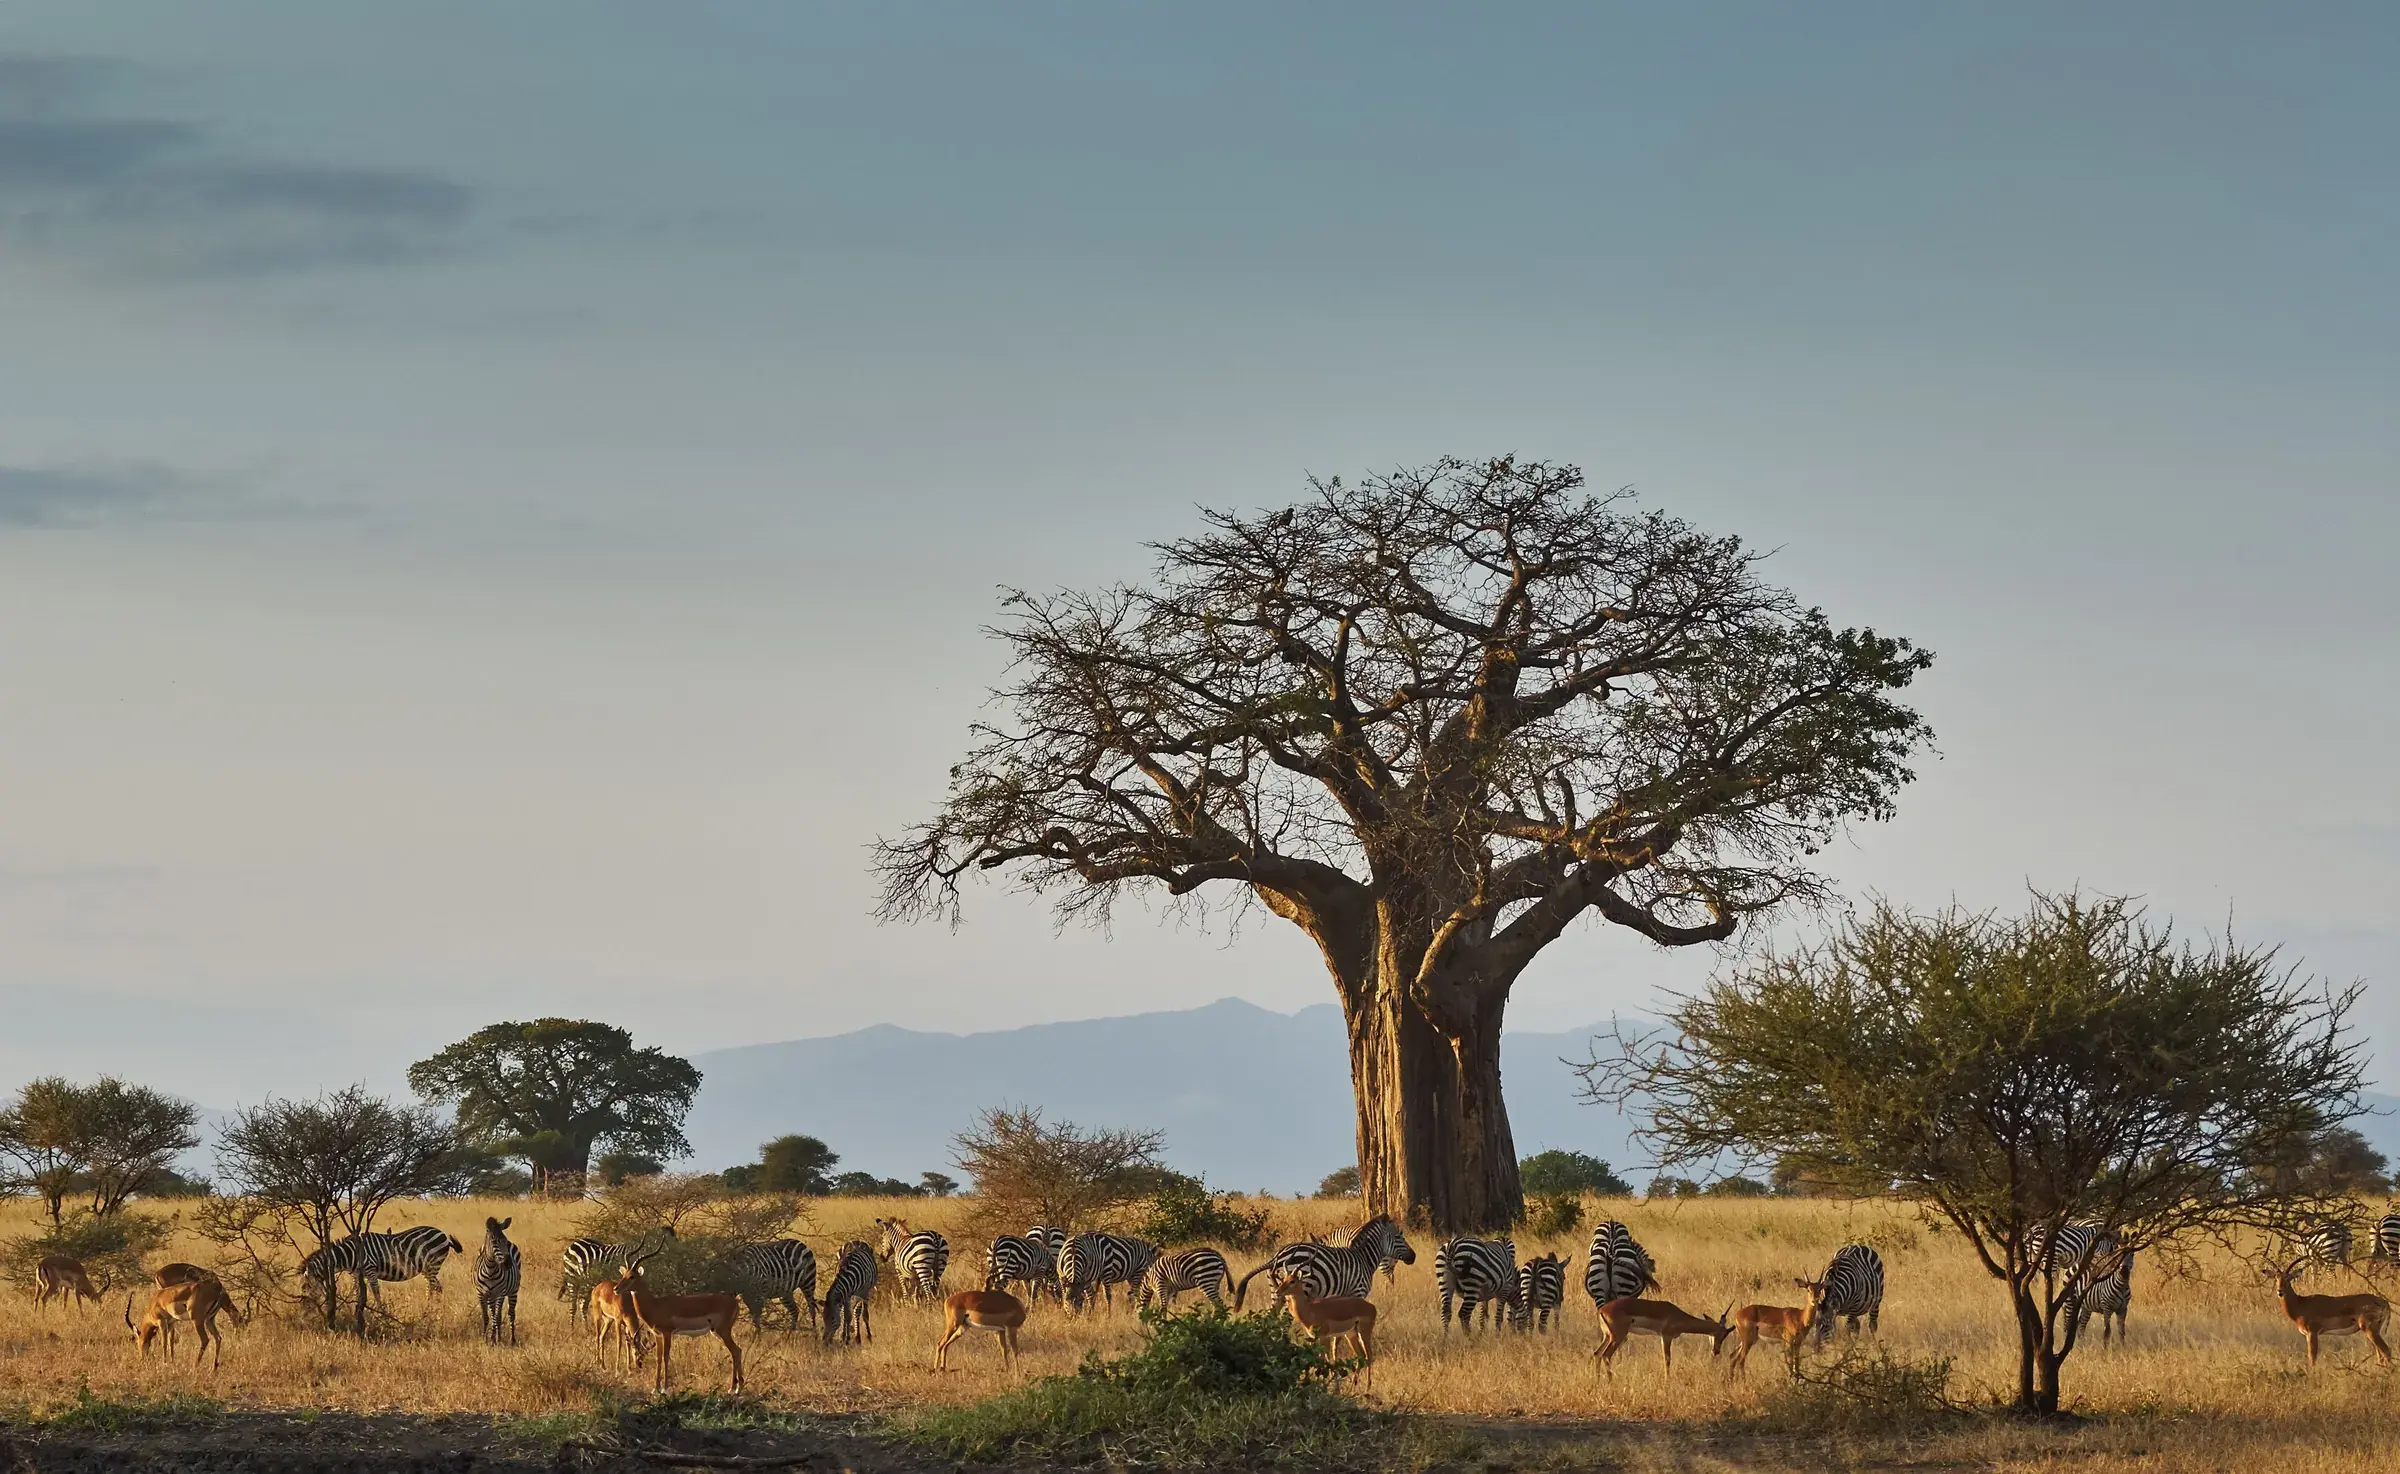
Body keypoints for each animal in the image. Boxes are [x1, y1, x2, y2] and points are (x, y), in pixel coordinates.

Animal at [472, 1216, 521, 1346]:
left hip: (513, 1291)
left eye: (504, 1240)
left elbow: (496, 1317)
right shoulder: (481, 1294)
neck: (490, 1271)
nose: (508, 1264)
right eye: (494, 1241)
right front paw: (484, 1338)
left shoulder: (500, 1293)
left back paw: (511, 1340)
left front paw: (493, 1339)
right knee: (495, 1314)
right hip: (492, 1295)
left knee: (510, 1314)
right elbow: (486, 1316)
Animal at [1235, 1214, 1416, 1308]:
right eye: (1399, 1237)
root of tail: (1276, 1257)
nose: (1413, 1257)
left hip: (1275, 1292)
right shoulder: (1358, 1292)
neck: (1363, 1257)